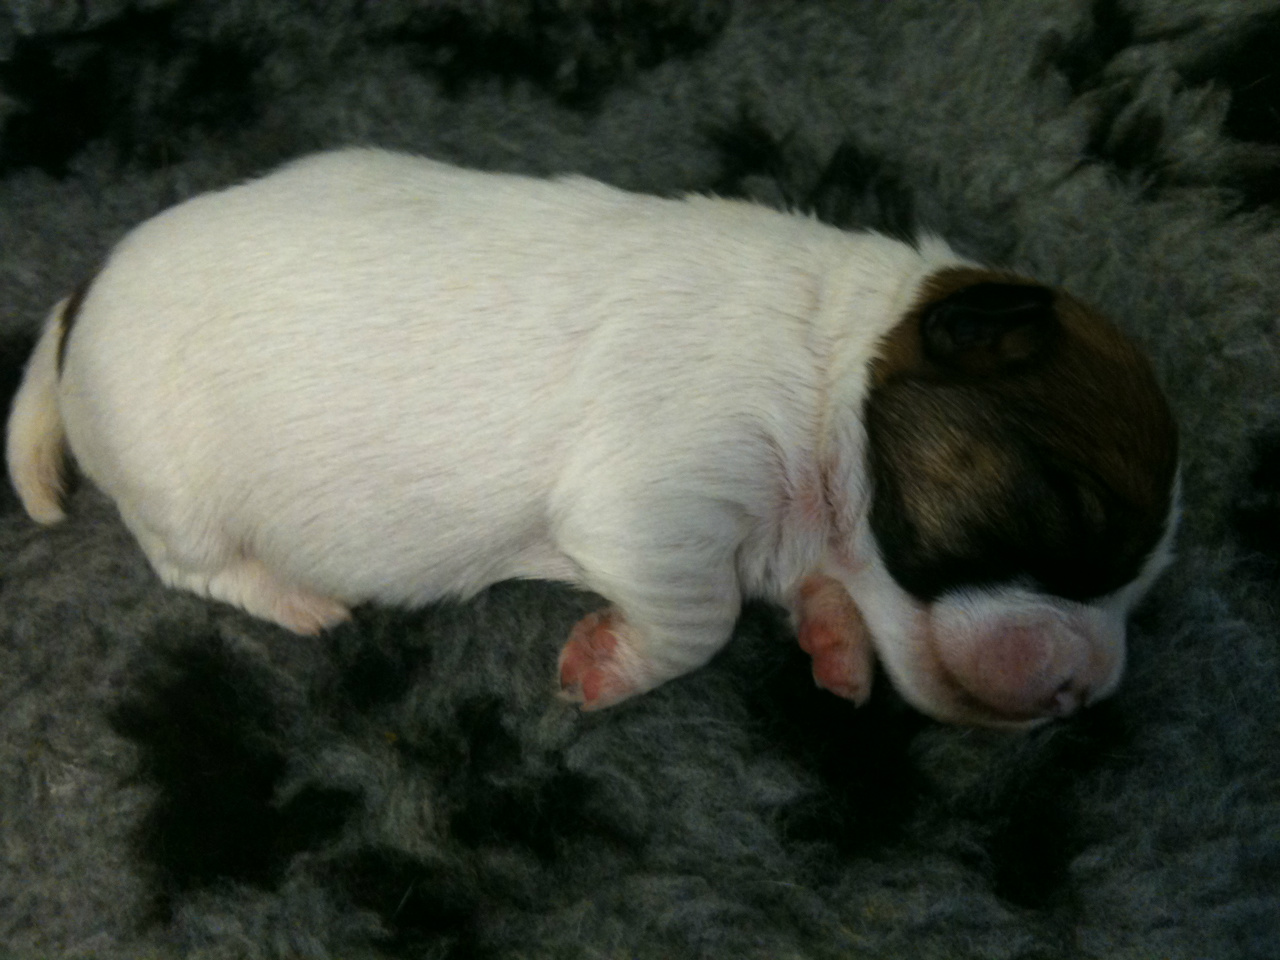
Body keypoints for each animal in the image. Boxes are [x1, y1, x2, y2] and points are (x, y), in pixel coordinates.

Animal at [6, 148, 1179, 727]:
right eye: (1068, 512)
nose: (1087, 694)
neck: (833, 369)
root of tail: (77, 301)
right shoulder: (656, 503)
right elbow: (700, 619)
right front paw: (609, 665)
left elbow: (806, 592)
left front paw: (836, 642)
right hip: (177, 487)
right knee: (188, 567)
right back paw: (298, 600)